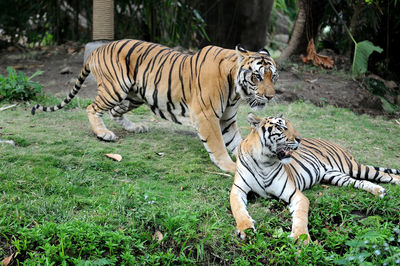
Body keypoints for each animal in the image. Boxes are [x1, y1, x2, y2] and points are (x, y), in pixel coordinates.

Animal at [31, 39, 278, 172]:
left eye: (273, 77)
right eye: (256, 77)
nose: (270, 96)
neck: (235, 88)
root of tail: (96, 50)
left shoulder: (226, 119)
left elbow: (236, 141)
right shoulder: (206, 115)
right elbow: (218, 144)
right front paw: (229, 166)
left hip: (134, 95)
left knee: (115, 111)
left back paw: (135, 127)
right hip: (115, 88)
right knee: (93, 108)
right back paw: (103, 133)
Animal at [230, 113, 400, 242]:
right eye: (280, 127)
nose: (299, 139)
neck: (264, 161)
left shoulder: (295, 194)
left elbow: (300, 217)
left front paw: (300, 238)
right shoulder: (238, 191)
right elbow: (239, 210)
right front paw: (246, 229)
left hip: (354, 167)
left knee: (386, 175)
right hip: (336, 176)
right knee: (359, 182)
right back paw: (379, 191)